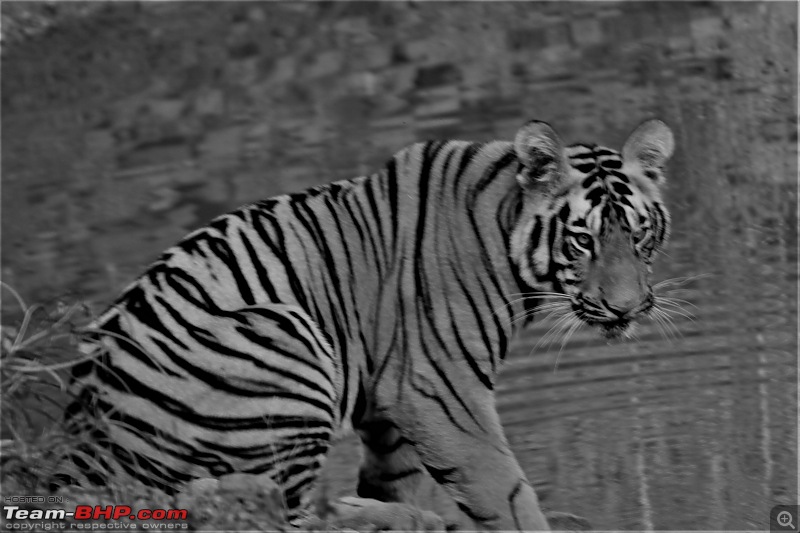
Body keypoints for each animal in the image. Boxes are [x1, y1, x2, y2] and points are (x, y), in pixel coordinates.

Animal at [64, 118, 676, 528]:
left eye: (639, 233)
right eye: (582, 240)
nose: (626, 308)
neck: (501, 225)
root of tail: (81, 446)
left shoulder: (391, 405)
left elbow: (400, 478)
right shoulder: (440, 390)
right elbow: (506, 490)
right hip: (284, 336)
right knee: (260, 510)